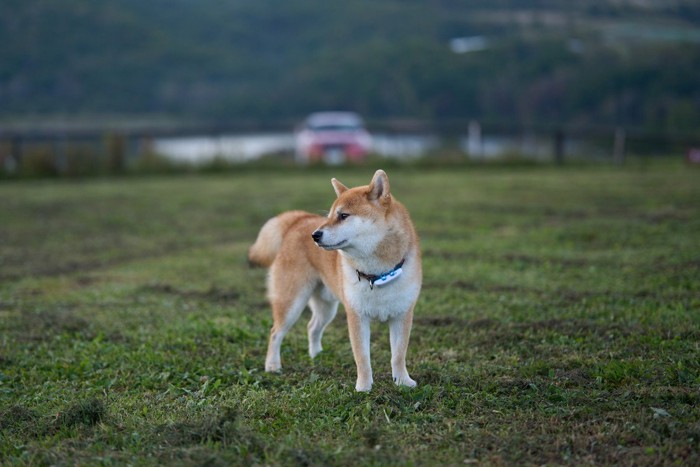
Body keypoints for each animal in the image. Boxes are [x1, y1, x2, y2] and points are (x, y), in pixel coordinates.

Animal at [250, 170, 422, 394]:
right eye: (330, 216)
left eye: (343, 216)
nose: (315, 235)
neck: (378, 274)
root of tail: (299, 220)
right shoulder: (357, 316)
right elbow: (362, 357)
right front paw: (364, 387)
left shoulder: (402, 315)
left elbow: (398, 355)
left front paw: (402, 381)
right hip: (291, 303)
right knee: (275, 332)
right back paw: (272, 366)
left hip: (326, 307)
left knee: (312, 327)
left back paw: (317, 355)